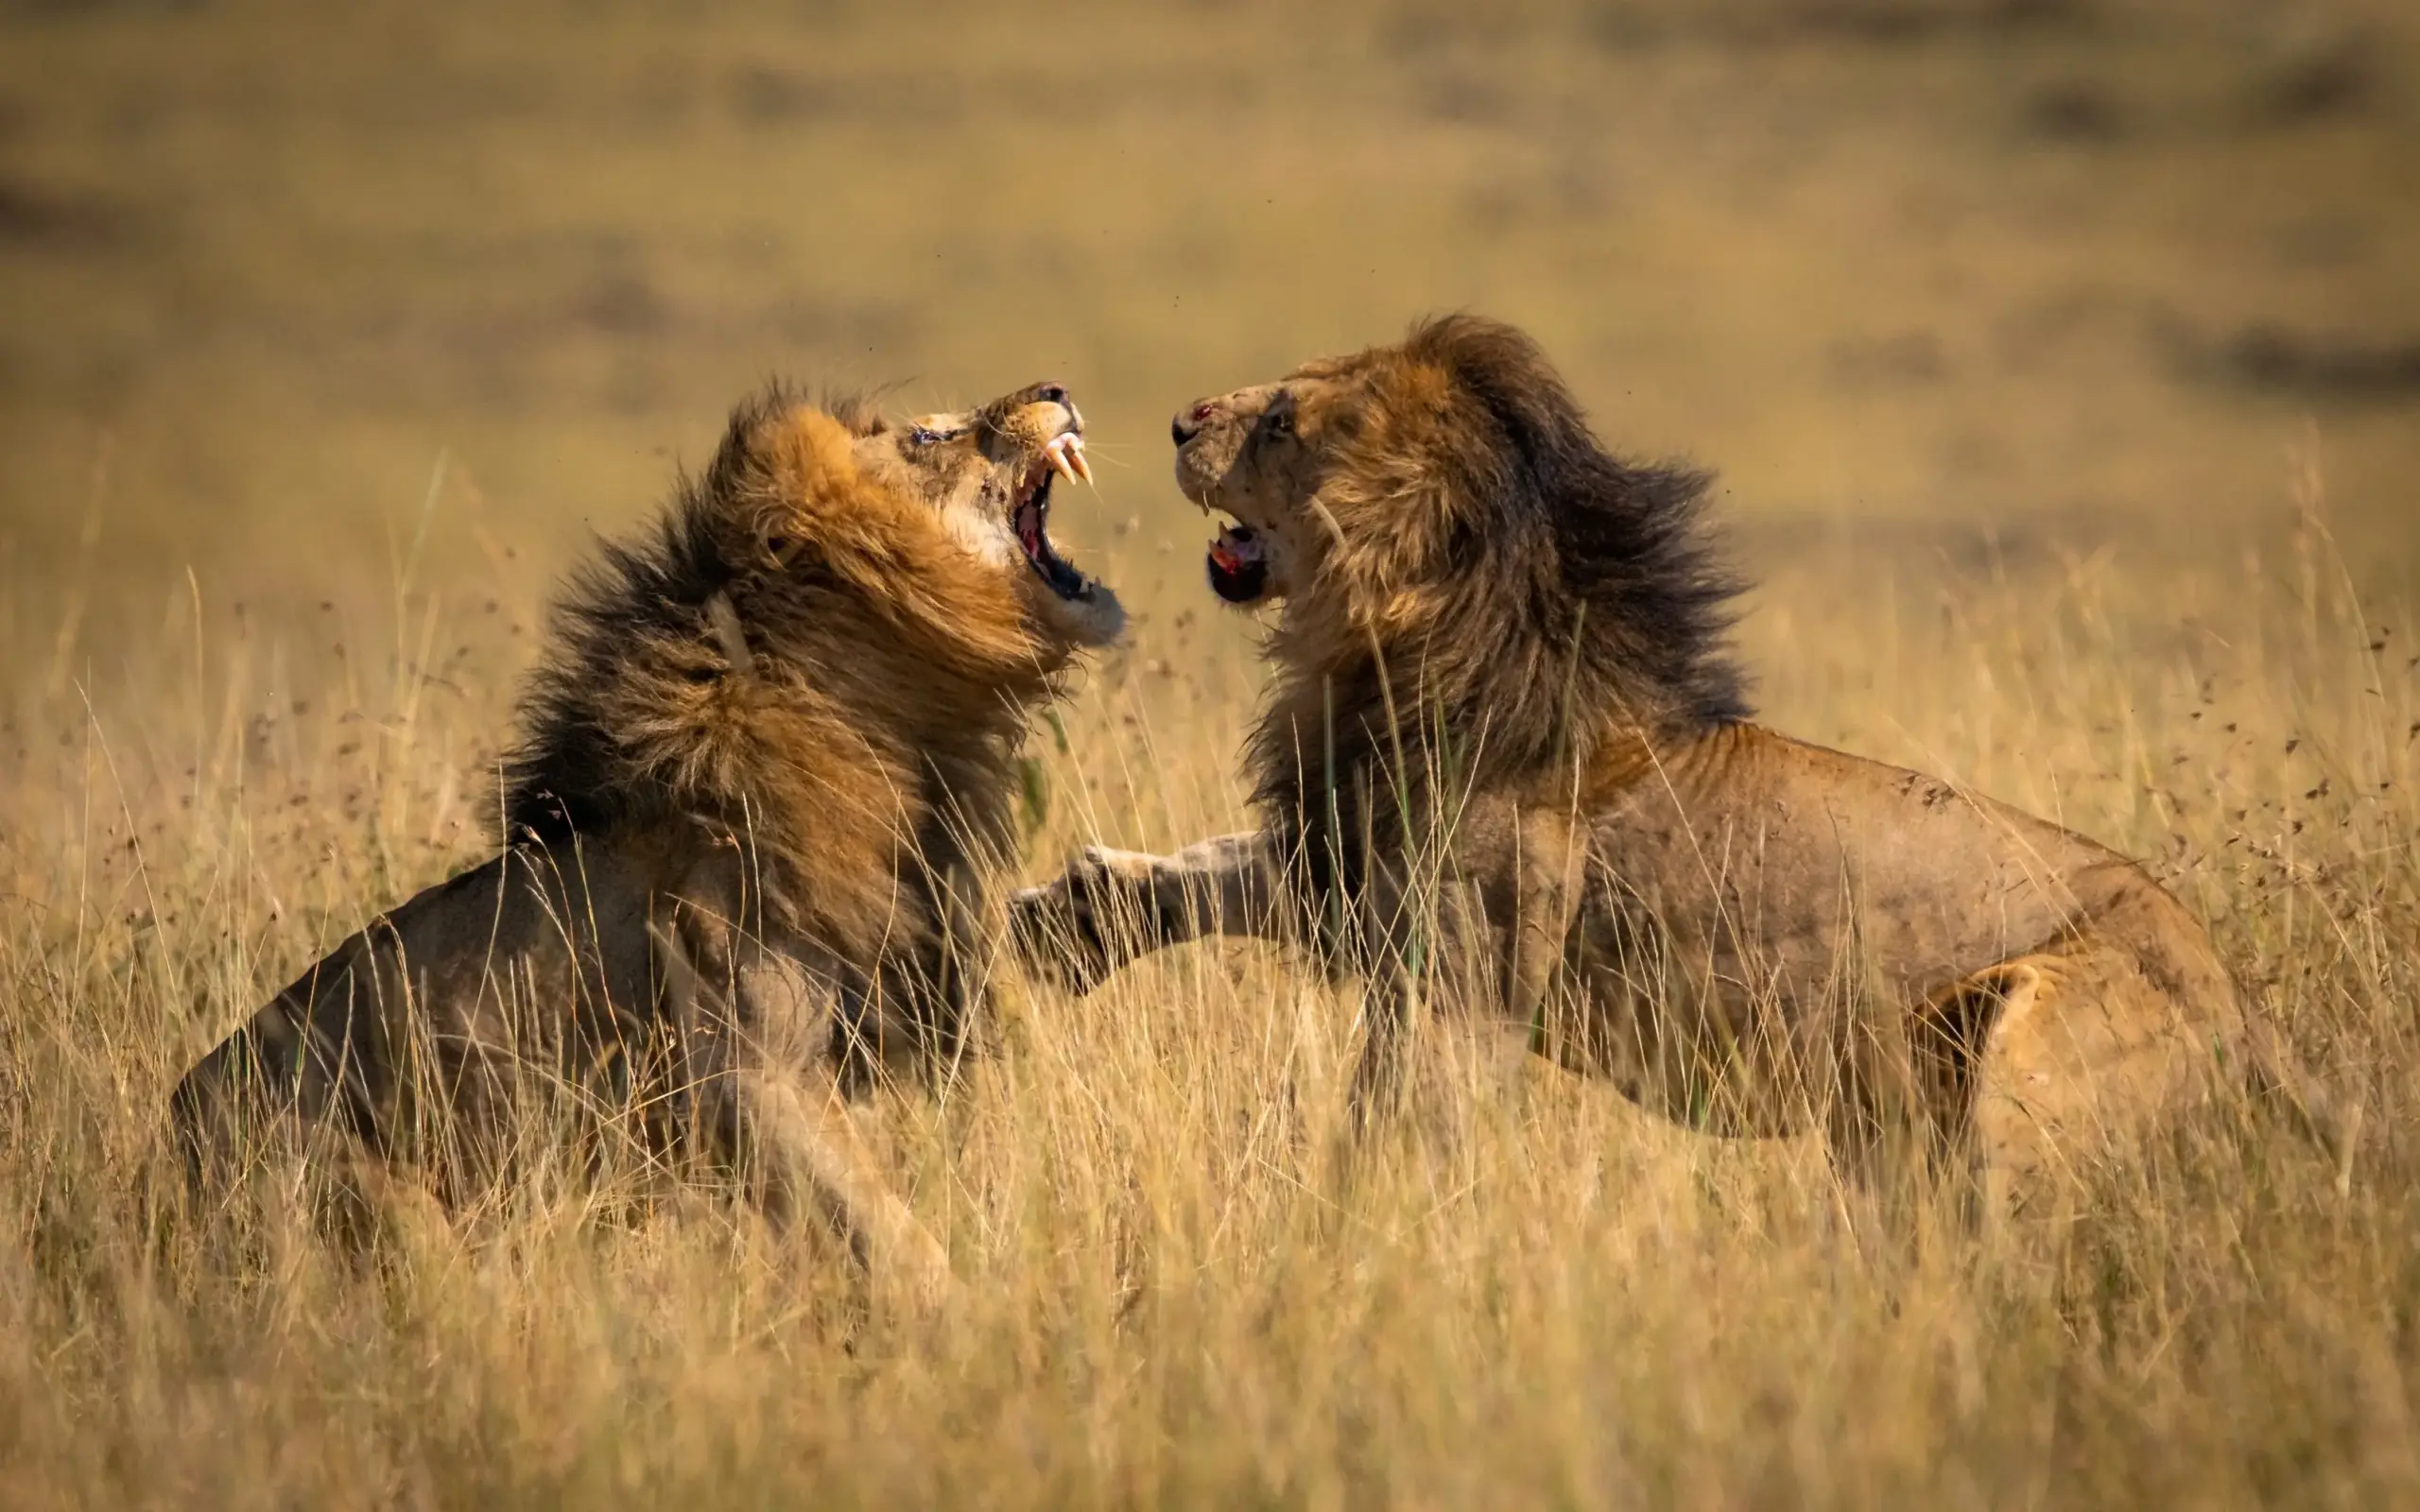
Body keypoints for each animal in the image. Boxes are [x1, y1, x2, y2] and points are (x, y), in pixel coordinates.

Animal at [172, 378, 1121, 1294]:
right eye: (929, 436)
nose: (1055, 388)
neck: (899, 729)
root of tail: (163, 1142)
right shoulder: (744, 1073)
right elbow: (889, 1233)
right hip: (366, 1191)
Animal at [1011, 316, 2331, 1219]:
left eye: (1284, 420)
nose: (1180, 421)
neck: (1408, 641)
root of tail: (2253, 1011)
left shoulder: (1467, 980)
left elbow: (1396, 1130)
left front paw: (1355, 1249)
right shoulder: (1358, 868)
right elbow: (1216, 871)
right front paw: (1058, 923)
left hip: (2024, 1053)